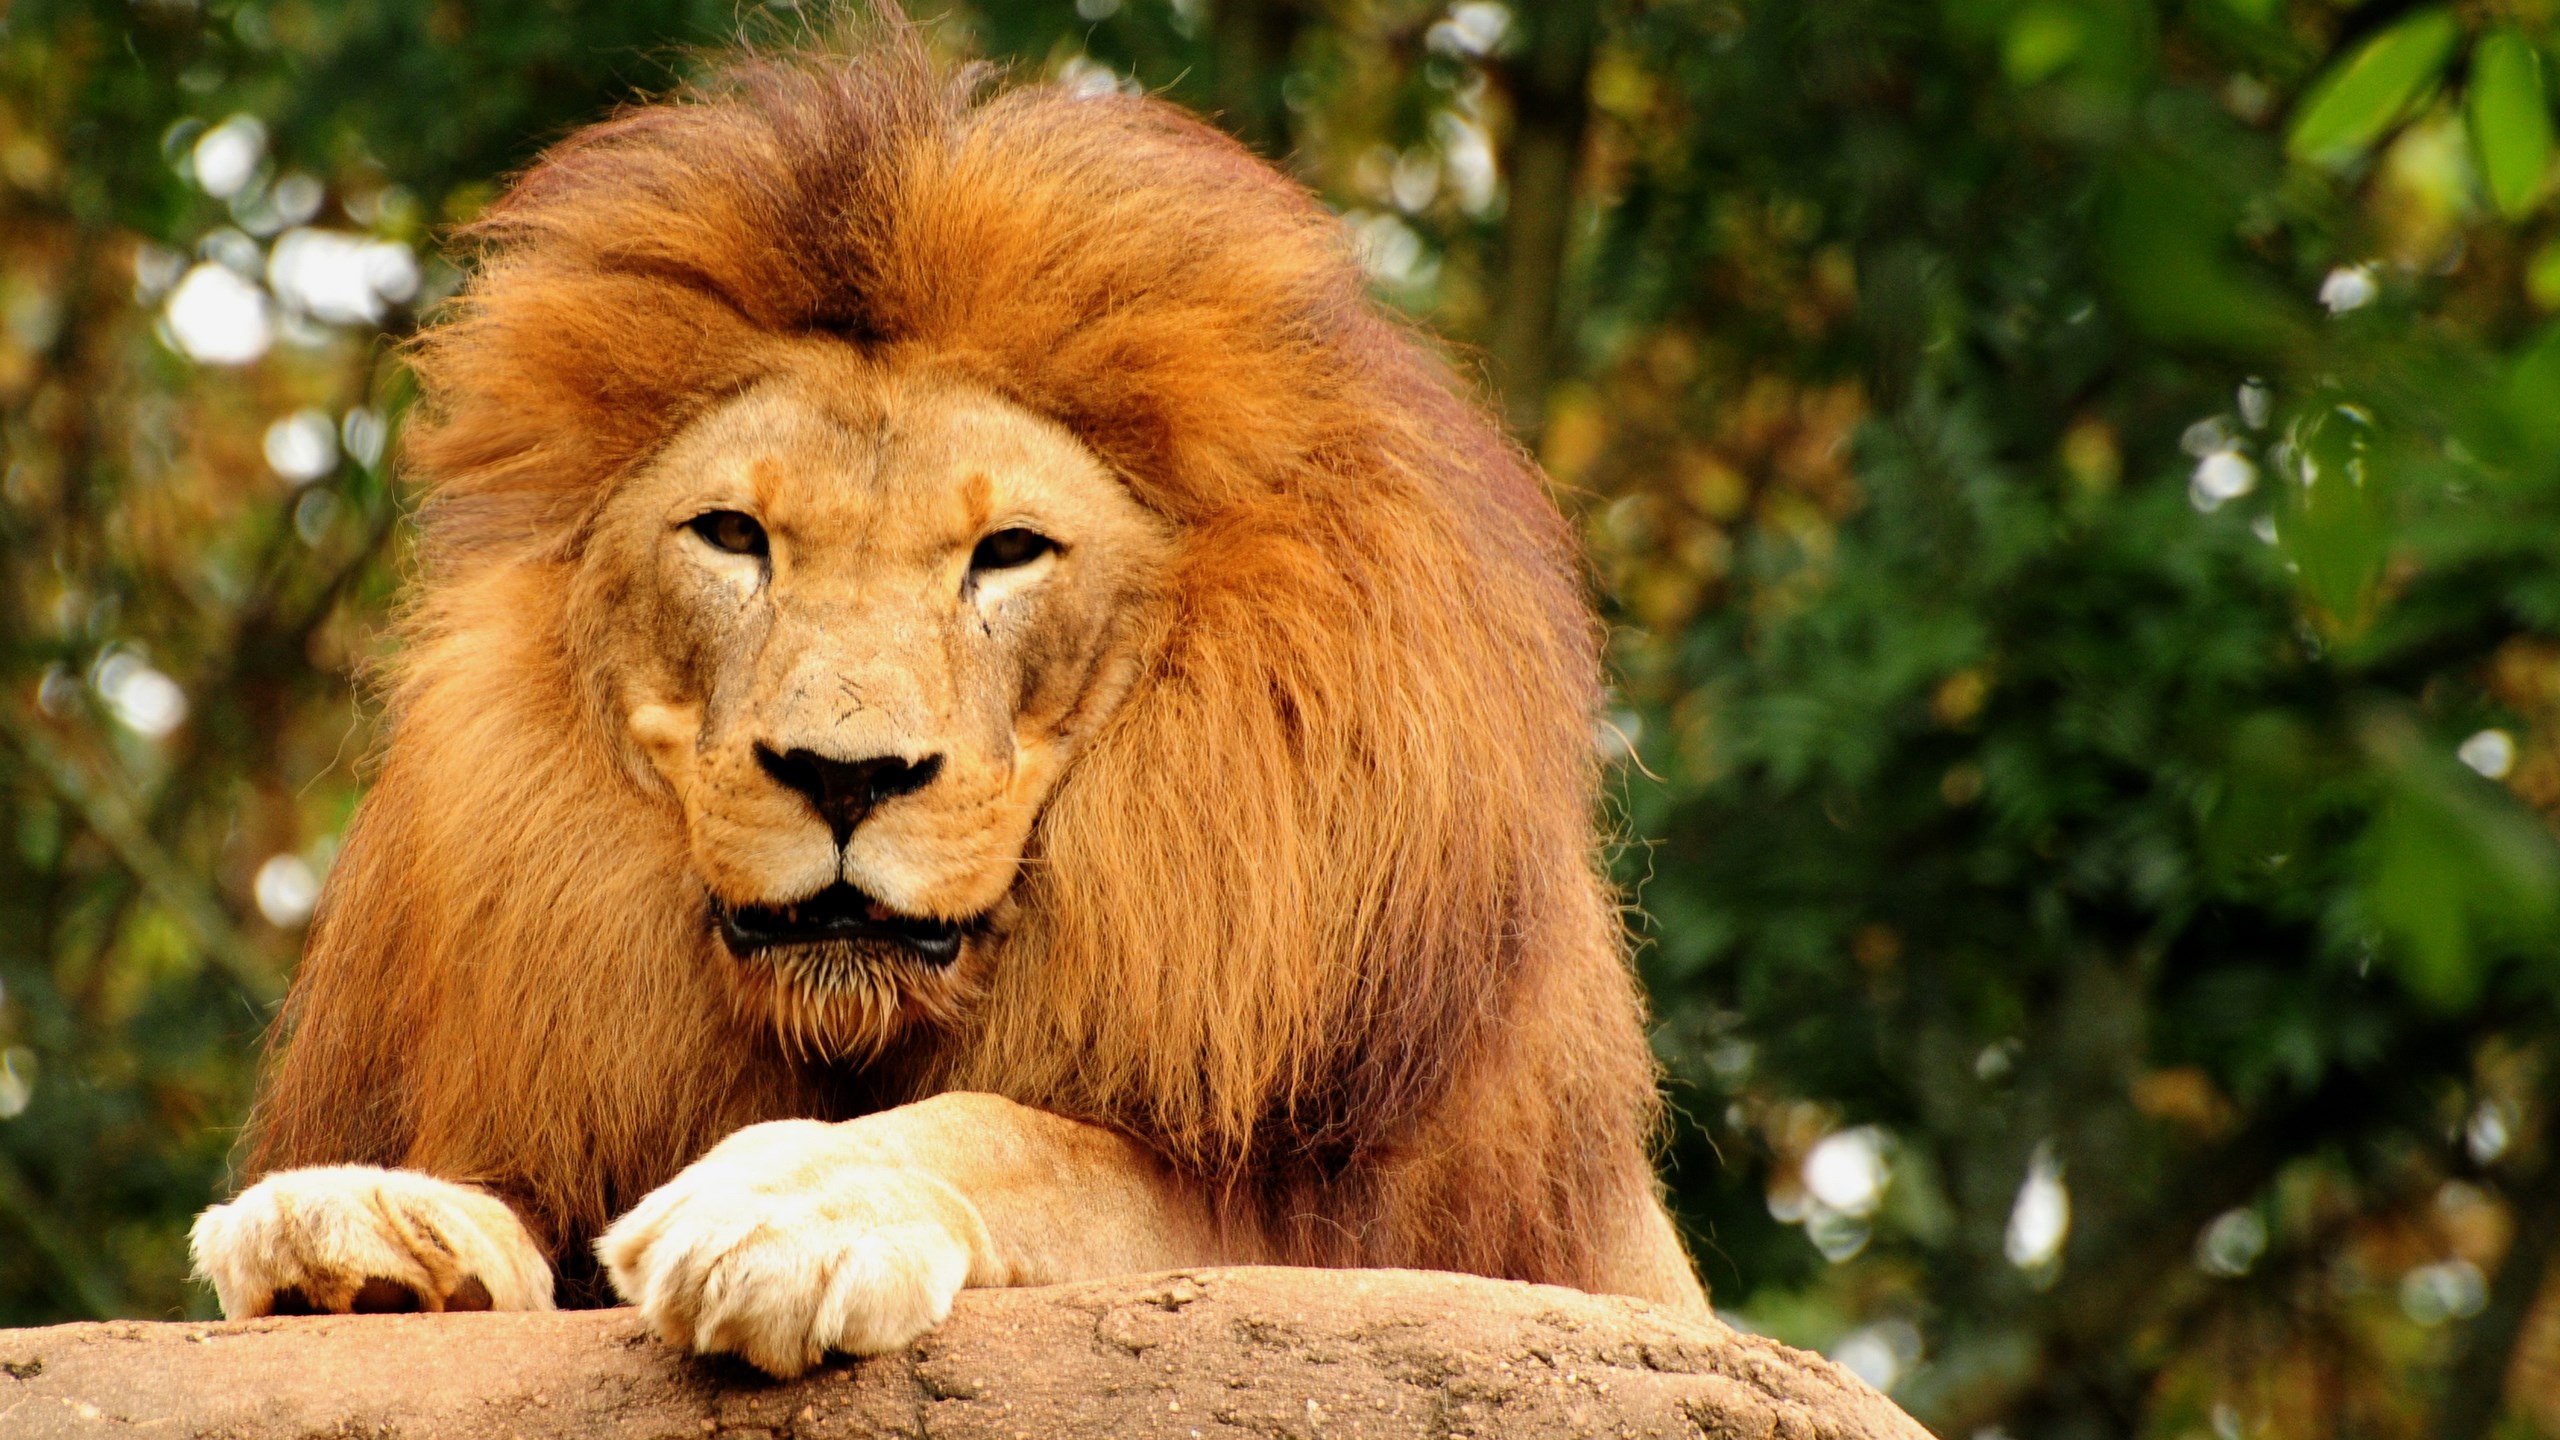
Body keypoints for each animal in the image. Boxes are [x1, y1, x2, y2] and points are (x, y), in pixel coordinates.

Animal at [187, 20, 1706, 1377]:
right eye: (731, 535)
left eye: (1008, 551)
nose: (844, 775)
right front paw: (367, 1221)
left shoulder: (1350, 1226)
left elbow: (1031, 1138)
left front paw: (789, 1206)